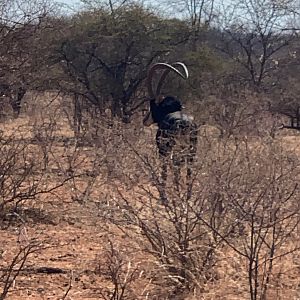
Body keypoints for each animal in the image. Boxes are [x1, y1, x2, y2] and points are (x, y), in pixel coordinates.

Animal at [144, 62, 198, 196]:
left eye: (152, 105)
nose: (145, 120)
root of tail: (184, 122)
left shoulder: (162, 151)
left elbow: (164, 170)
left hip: (172, 149)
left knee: (174, 168)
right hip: (191, 151)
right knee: (188, 170)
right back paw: (187, 195)